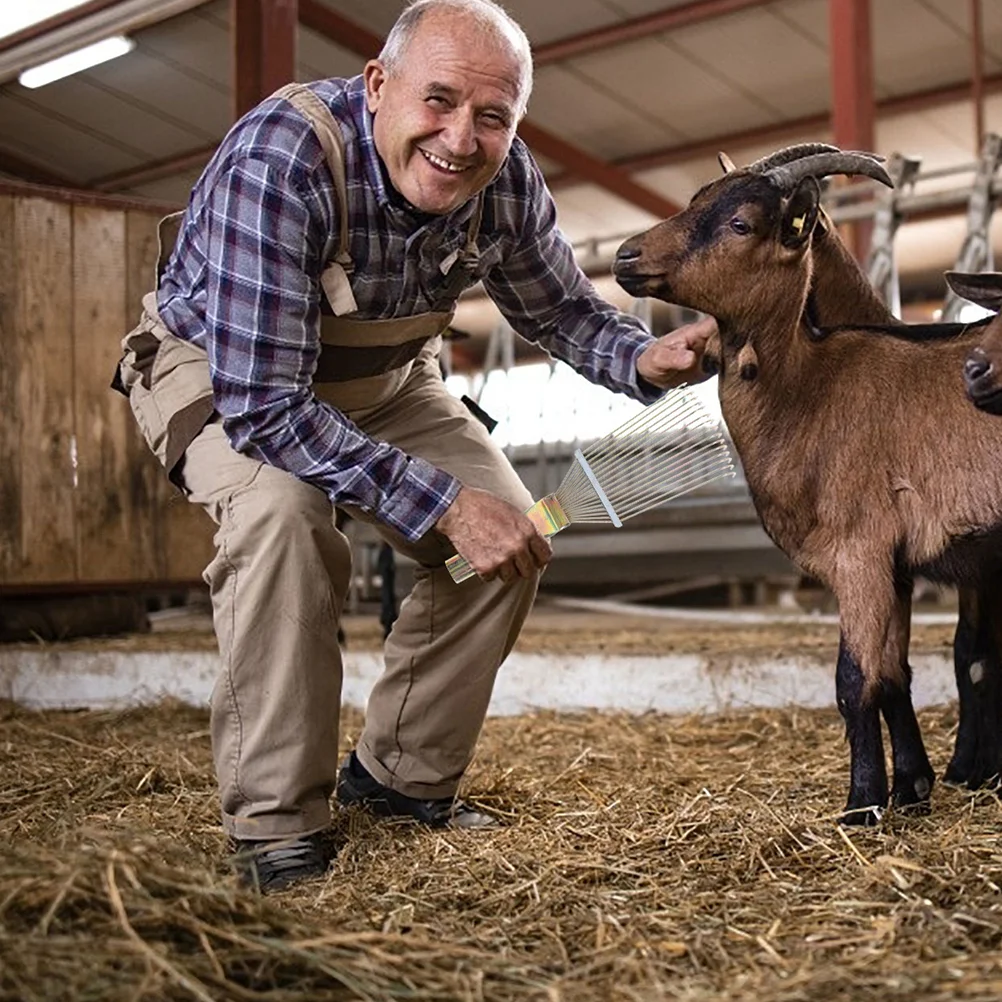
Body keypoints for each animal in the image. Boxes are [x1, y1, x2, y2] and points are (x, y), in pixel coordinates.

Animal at [613, 148, 1002, 821]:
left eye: (741, 223)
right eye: (694, 200)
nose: (626, 256)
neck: (809, 391)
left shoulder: (860, 553)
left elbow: (855, 680)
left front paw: (864, 804)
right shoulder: (895, 566)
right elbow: (893, 676)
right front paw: (914, 790)